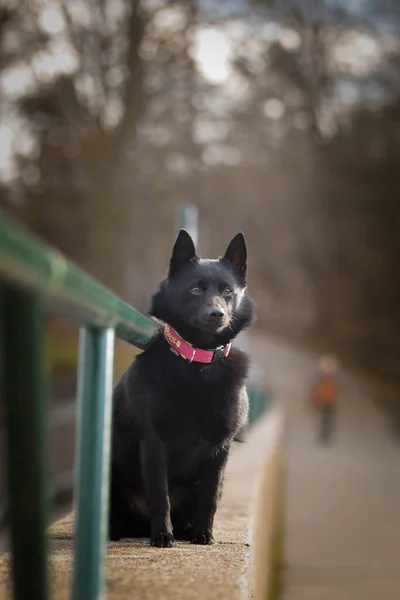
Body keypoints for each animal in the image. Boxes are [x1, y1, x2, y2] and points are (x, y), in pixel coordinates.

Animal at [109, 227, 253, 548]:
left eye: (227, 291)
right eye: (195, 290)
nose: (217, 314)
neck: (197, 362)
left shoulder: (221, 446)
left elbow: (209, 497)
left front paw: (204, 534)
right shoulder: (154, 441)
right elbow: (160, 494)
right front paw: (163, 535)